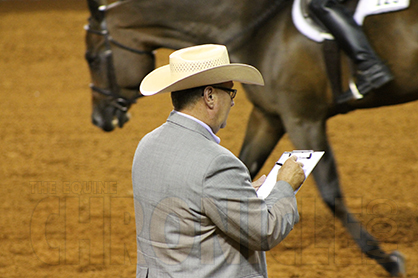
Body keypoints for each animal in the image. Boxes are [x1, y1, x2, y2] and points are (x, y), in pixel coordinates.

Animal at [84, 0, 414, 274]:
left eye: (93, 58)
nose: (100, 119)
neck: (261, 31)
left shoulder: (302, 117)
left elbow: (331, 192)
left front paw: (388, 260)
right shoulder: (269, 117)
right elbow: (247, 164)